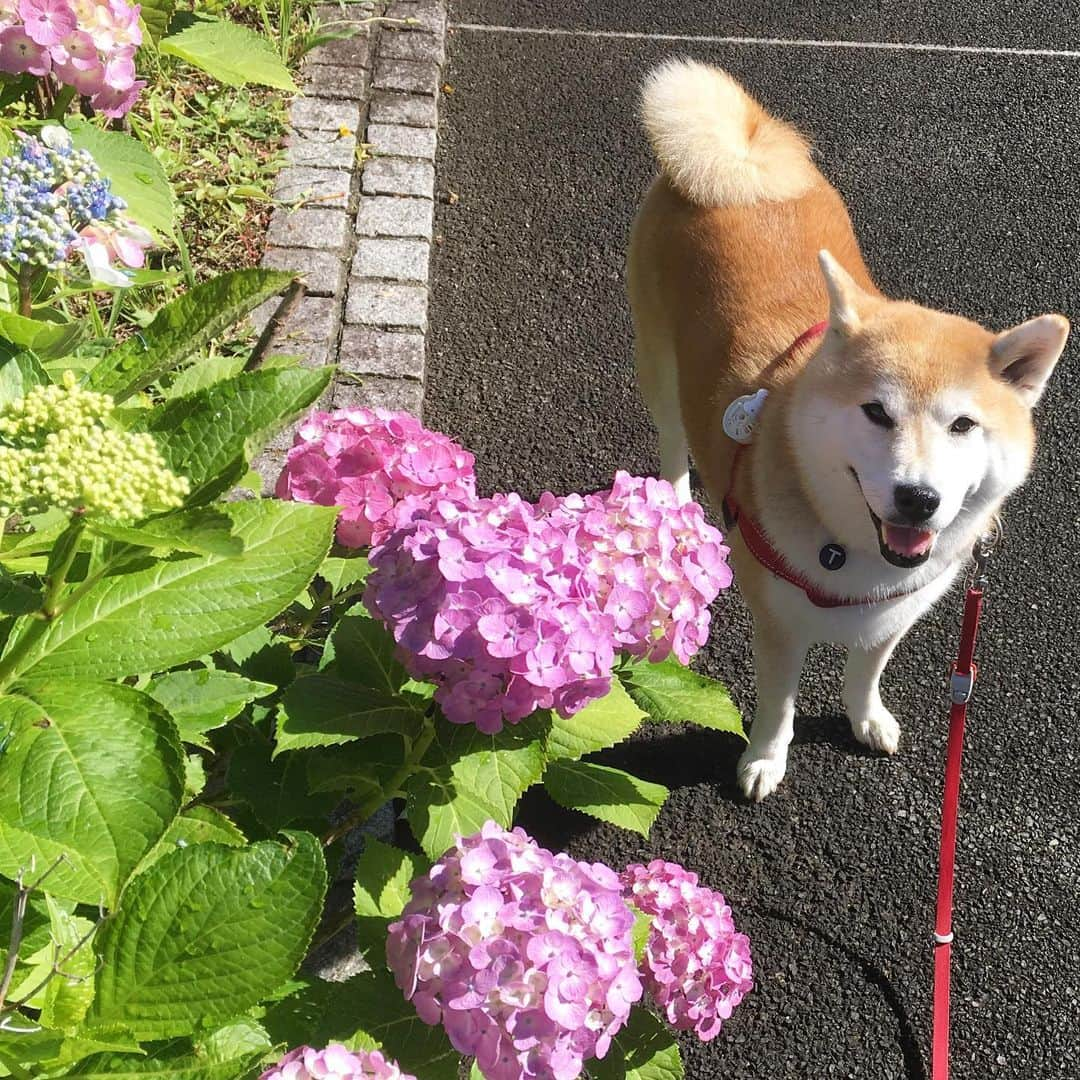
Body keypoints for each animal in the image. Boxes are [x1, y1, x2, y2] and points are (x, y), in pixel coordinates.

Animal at [630, 59, 1067, 803]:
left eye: (963, 425)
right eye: (877, 412)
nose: (918, 499)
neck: (857, 558)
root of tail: (741, 160)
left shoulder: (893, 615)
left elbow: (866, 673)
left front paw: (868, 720)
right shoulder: (779, 624)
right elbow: (778, 707)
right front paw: (764, 760)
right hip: (658, 366)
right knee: (671, 441)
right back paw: (678, 502)